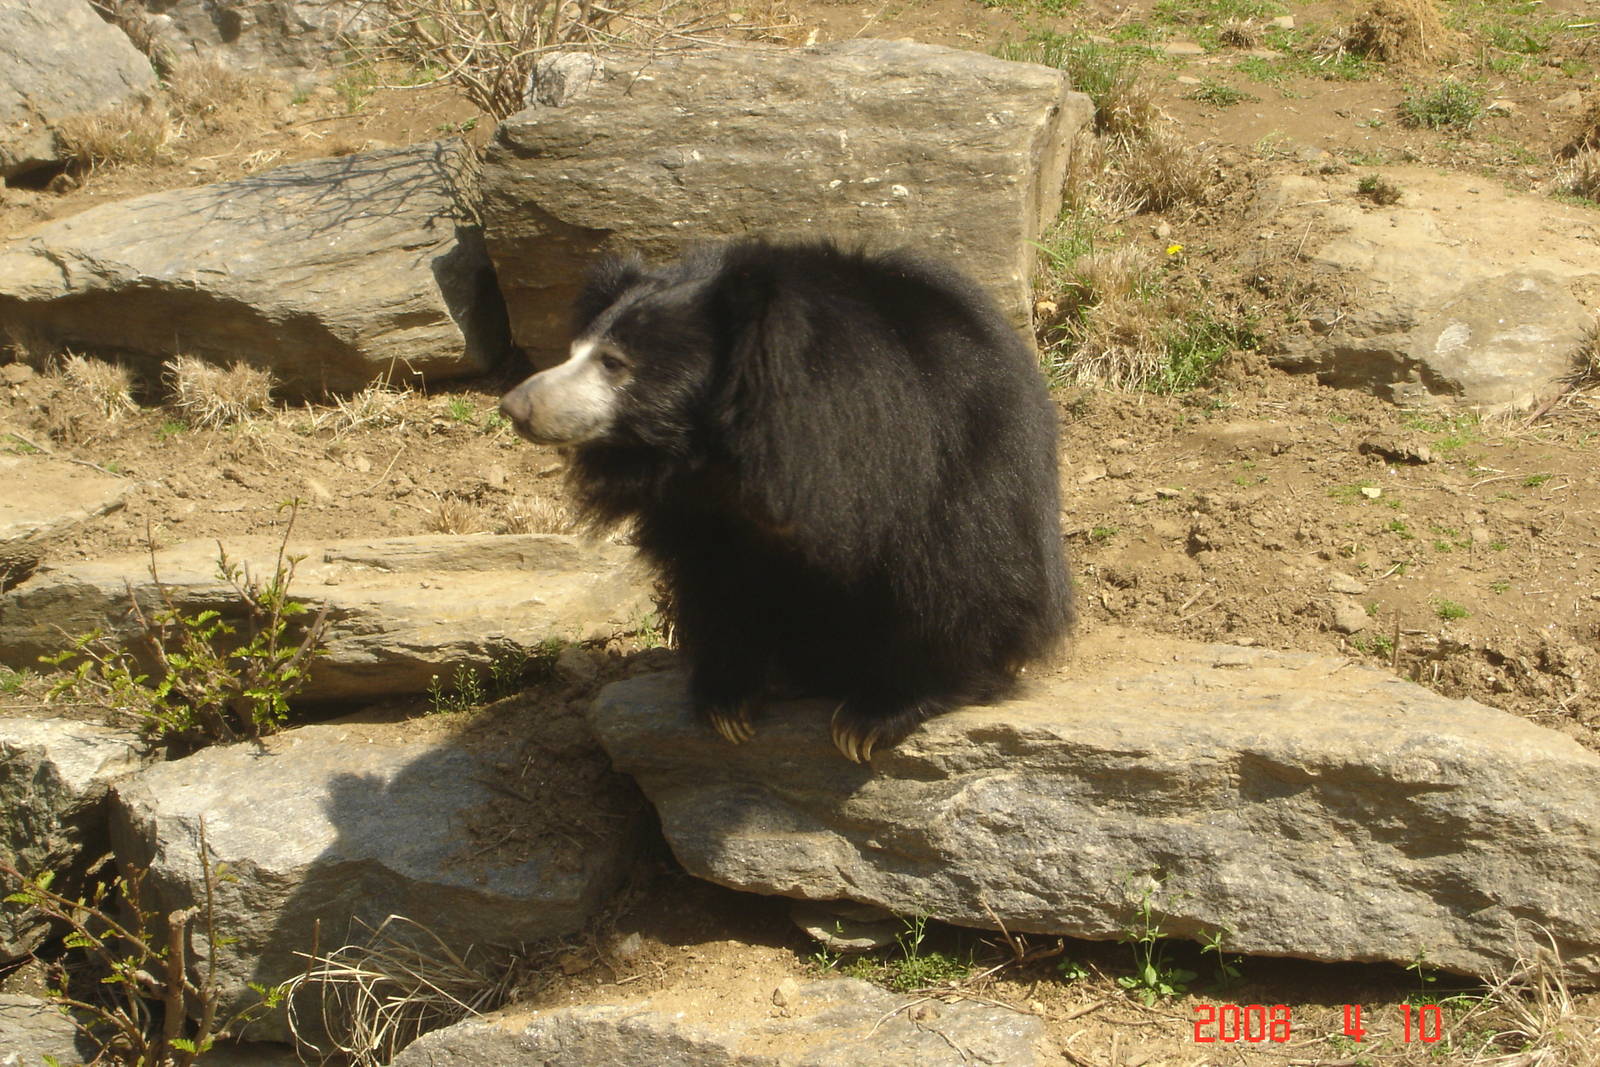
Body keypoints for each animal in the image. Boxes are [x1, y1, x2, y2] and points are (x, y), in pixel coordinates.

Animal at [499, 238, 1073, 762]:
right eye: (574, 351)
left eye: (614, 363)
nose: (515, 406)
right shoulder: (701, 514)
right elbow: (718, 581)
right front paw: (730, 701)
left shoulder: (940, 449)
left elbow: (952, 569)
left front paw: (874, 716)